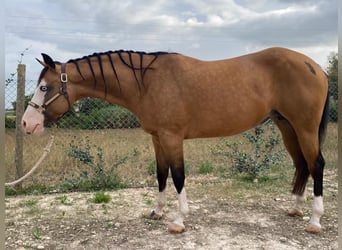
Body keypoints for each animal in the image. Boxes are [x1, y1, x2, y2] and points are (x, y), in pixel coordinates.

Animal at [21, 47, 328, 234]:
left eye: (44, 87)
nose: (27, 123)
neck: (147, 83)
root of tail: (315, 66)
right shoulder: (158, 138)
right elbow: (161, 175)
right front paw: (157, 212)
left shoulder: (172, 137)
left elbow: (178, 175)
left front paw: (179, 220)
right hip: (287, 127)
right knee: (301, 164)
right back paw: (295, 209)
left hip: (305, 128)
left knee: (316, 165)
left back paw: (314, 220)